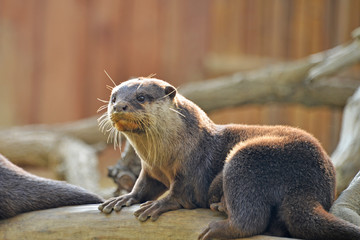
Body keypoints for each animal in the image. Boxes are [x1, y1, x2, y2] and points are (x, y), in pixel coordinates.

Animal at [97, 78, 360, 239]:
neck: (167, 153)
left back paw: (218, 226)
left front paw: (159, 204)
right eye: (113, 98)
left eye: (141, 97)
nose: (120, 106)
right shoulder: (151, 168)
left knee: (252, 220)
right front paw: (124, 198)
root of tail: (308, 185)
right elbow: (143, 185)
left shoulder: (191, 169)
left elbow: (181, 192)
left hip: (247, 157)